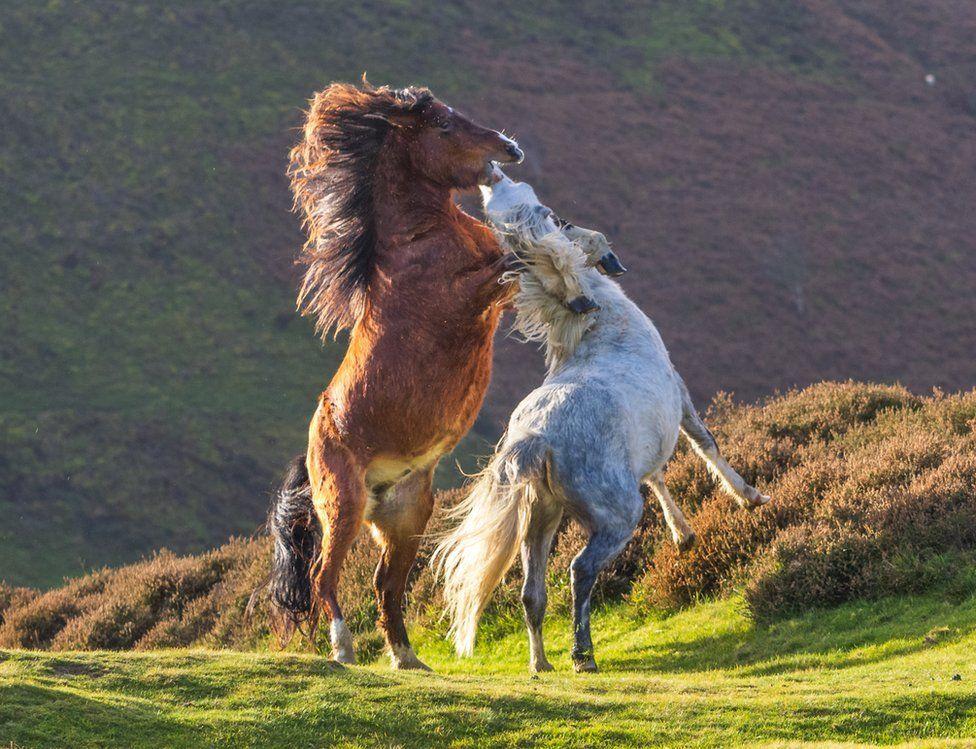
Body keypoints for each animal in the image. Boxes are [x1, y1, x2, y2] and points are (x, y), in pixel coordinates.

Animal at [264, 80, 528, 668]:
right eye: (445, 126)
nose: (510, 149)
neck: (419, 241)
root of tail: (309, 455)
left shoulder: (495, 302)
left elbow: (517, 265)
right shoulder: (465, 299)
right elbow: (508, 263)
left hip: (406, 516)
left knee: (387, 584)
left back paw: (407, 657)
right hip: (343, 506)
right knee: (325, 577)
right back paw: (343, 650)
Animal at [434, 169, 772, 672]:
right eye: (555, 217)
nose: (494, 173)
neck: (604, 330)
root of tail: (536, 438)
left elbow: (656, 474)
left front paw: (685, 535)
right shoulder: (680, 393)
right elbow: (705, 444)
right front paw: (750, 498)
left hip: (540, 519)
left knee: (531, 594)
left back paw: (541, 664)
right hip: (613, 517)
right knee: (580, 570)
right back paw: (582, 655)